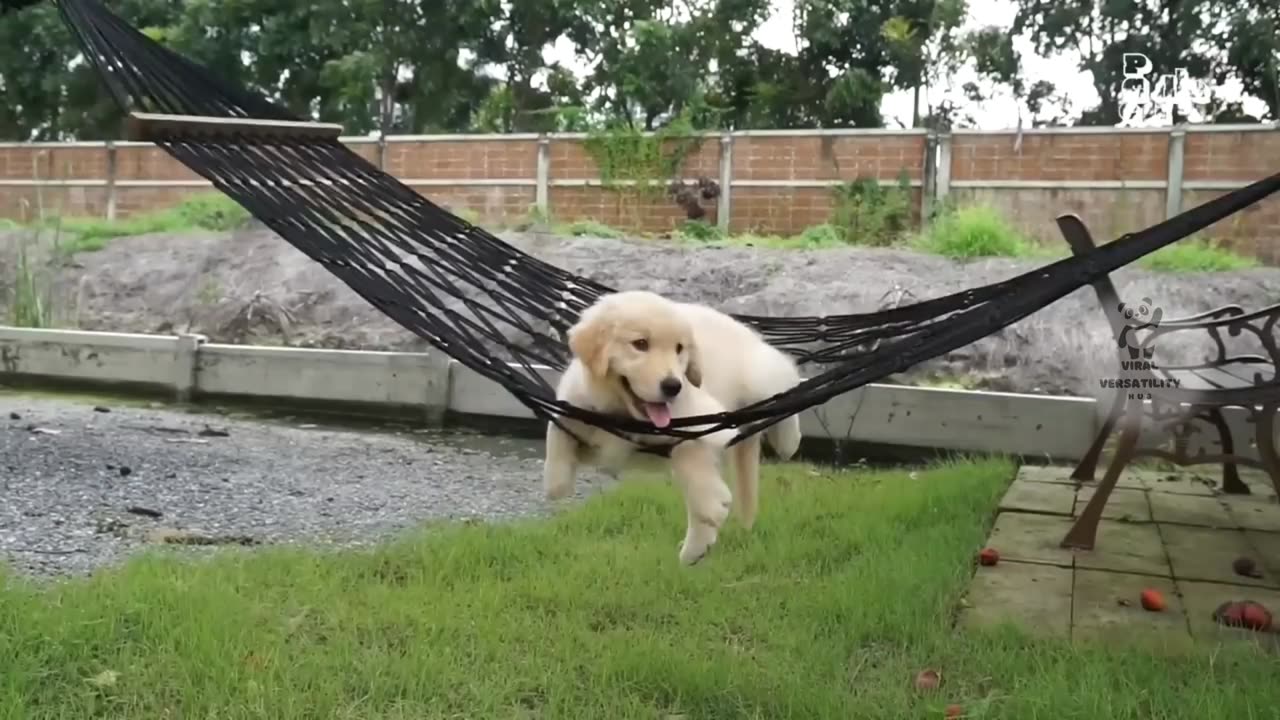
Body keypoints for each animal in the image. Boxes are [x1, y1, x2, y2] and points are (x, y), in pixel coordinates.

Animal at [540, 288, 798, 563]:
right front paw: (557, 480)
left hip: (760, 375)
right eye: (640, 344)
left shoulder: (702, 413)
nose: (673, 386)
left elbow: (689, 451)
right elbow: (558, 429)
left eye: (679, 349)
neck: (624, 412)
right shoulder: (578, 403)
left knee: (787, 382)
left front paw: (704, 524)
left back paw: (788, 441)